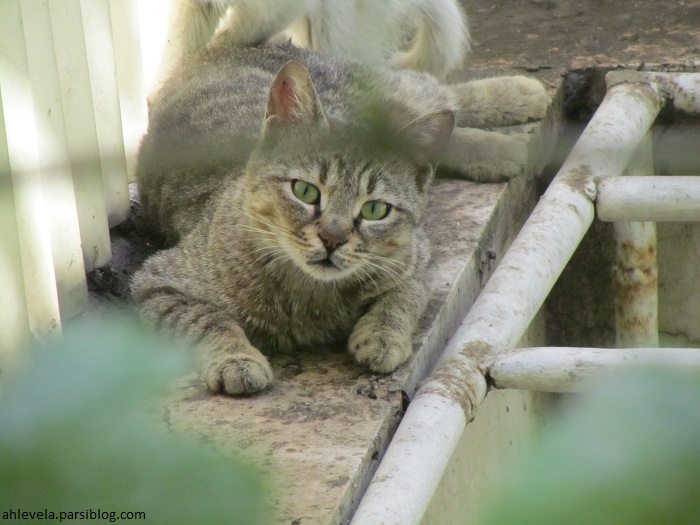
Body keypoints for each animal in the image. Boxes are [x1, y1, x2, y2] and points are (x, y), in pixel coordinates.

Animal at [133, 41, 548, 392]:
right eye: (305, 191)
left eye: (375, 209)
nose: (332, 238)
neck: (307, 291)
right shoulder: (157, 284)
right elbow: (210, 321)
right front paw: (235, 358)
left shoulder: (419, 261)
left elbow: (403, 298)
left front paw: (383, 334)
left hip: (392, 97)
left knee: (438, 96)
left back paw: (516, 100)